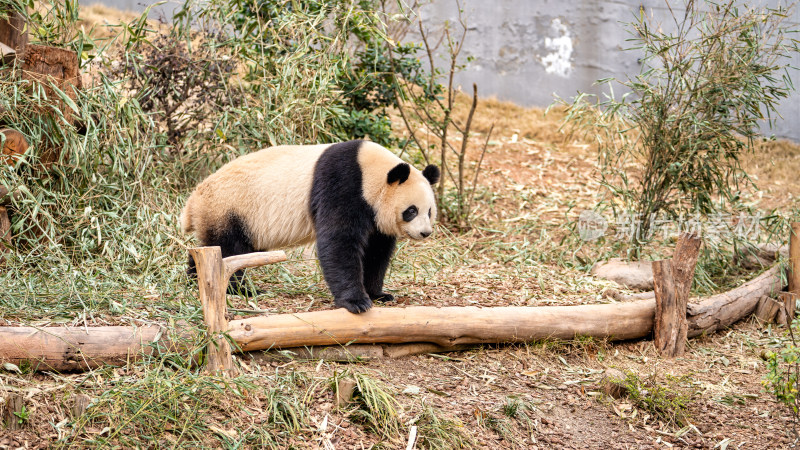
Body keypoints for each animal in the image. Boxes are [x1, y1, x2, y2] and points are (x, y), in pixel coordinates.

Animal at [180, 140, 440, 312]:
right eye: (411, 211)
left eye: (429, 211)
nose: (425, 232)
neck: (370, 172)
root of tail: (193, 201)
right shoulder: (344, 184)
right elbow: (338, 241)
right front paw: (356, 302)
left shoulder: (375, 214)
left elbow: (376, 252)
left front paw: (378, 294)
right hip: (230, 208)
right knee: (228, 251)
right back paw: (238, 289)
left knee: (213, 249)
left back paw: (196, 278)